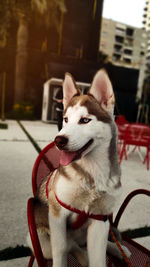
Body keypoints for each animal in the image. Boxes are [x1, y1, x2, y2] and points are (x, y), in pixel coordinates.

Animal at [27, 69, 130, 267]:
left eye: (85, 120)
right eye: (66, 120)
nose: (58, 140)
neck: (91, 176)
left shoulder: (99, 220)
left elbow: (99, 258)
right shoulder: (57, 215)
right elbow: (61, 251)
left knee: (83, 244)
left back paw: (118, 249)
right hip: (41, 240)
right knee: (70, 245)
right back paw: (83, 256)